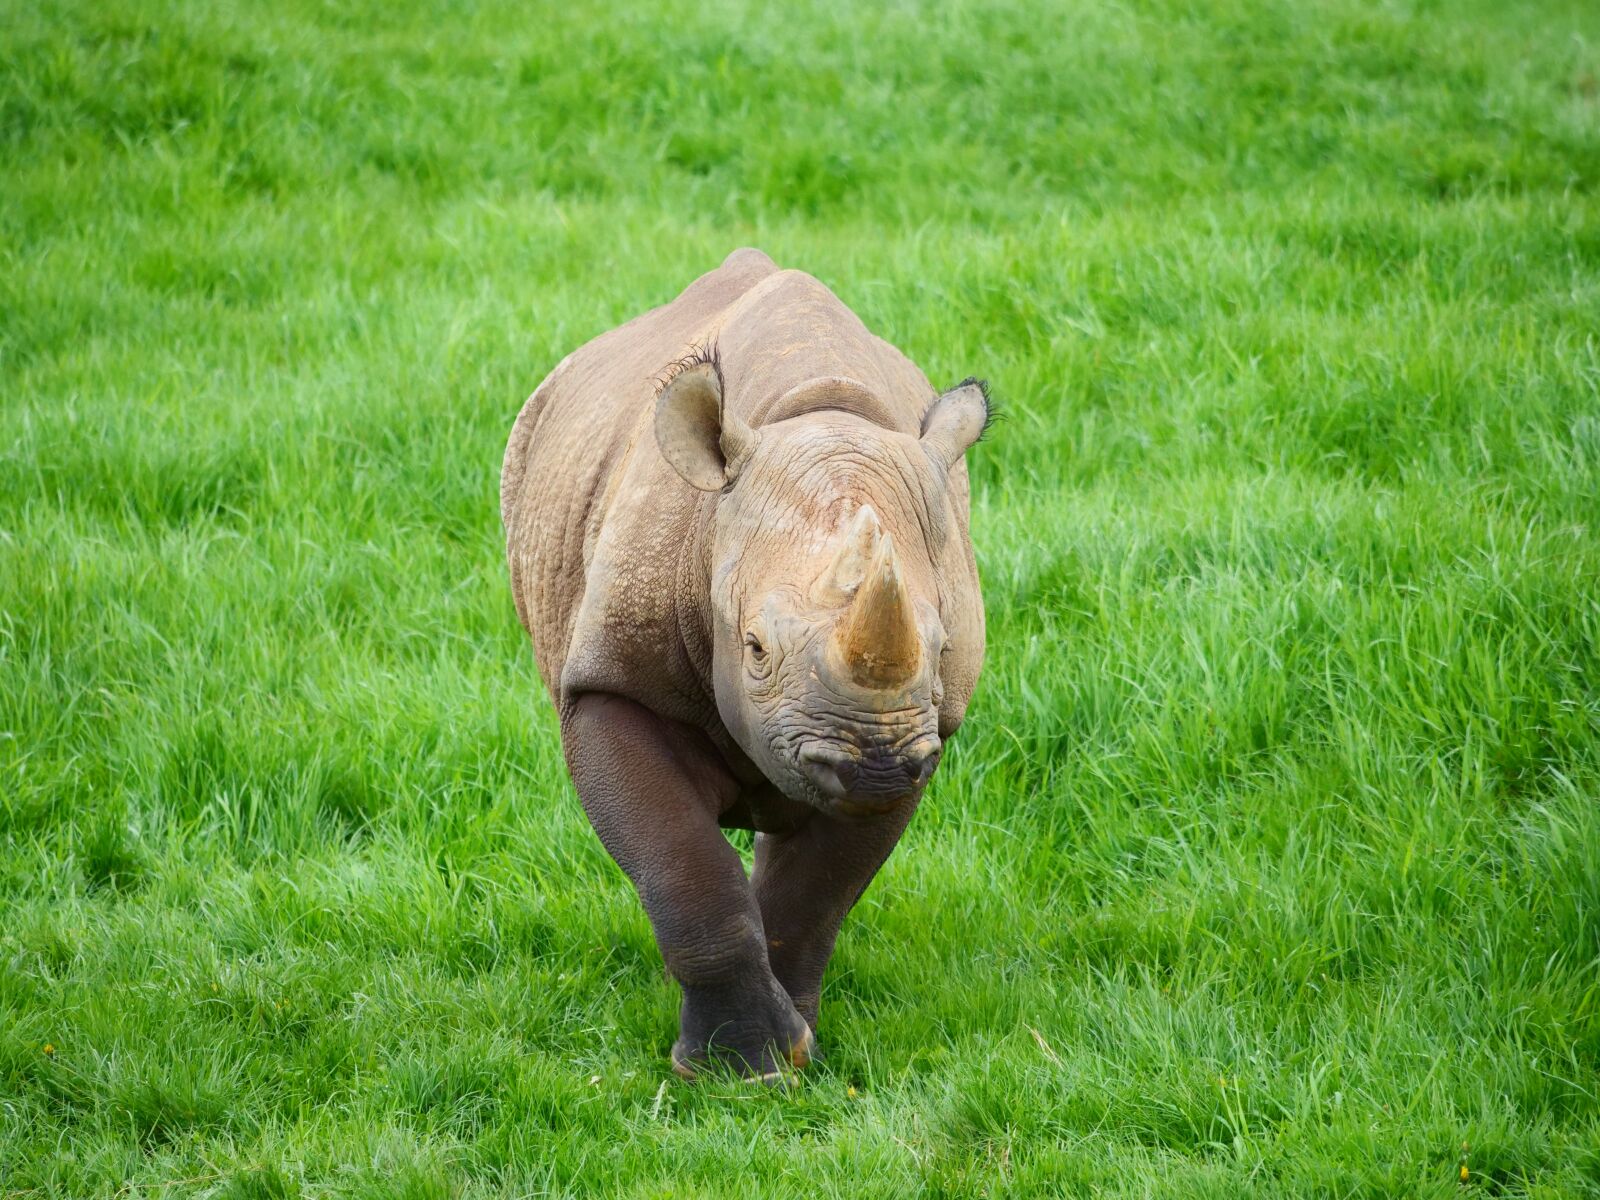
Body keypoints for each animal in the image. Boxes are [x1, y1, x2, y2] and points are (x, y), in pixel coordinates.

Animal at [500, 248, 989, 1078]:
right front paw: (737, 1069)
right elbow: (683, 866)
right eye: (755, 647)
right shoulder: (612, 684)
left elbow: (817, 893)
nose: (873, 766)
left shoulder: (921, 731)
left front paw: (792, 1049)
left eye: (945, 647)